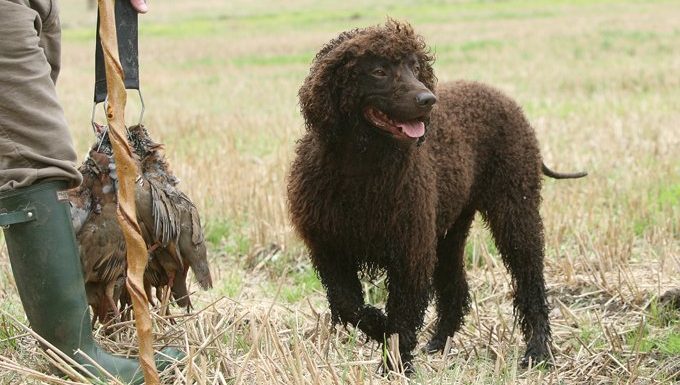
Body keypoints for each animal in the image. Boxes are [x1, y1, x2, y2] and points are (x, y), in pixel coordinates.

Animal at [286, 20, 584, 372]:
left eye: (415, 67)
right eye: (378, 71)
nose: (428, 99)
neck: (361, 168)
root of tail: (502, 97)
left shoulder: (410, 251)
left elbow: (402, 316)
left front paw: (396, 364)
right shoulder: (329, 247)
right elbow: (350, 306)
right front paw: (379, 327)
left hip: (515, 209)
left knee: (530, 282)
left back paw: (538, 351)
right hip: (449, 229)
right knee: (456, 289)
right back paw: (440, 343)